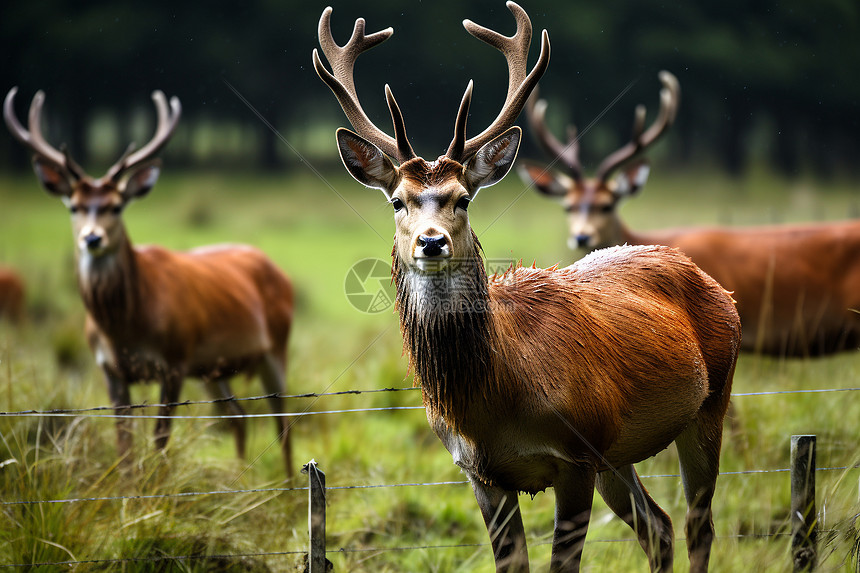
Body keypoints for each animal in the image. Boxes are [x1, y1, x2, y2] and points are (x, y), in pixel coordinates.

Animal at [5, 87, 296, 476]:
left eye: (116, 206)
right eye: (73, 206)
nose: (92, 238)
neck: (126, 329)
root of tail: (278, 270)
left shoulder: (174, 360)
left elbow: (160, 438)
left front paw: (154, 485)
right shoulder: (110, 369)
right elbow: (124, 442)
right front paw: (128, 487)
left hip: (275, 347)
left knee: (283, 421)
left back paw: (290, 484)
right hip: (214, 368)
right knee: (239, 417)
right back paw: (240, 478)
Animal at [314, 2, 740, 568]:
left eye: (463, 198)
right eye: (398, 200)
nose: (431, 242)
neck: (494, 402)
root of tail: (714, 284)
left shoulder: (576, 456)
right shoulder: (480, 473)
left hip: (710, 403)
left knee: (699, 524)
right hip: (617, 453)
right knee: (660, 525)